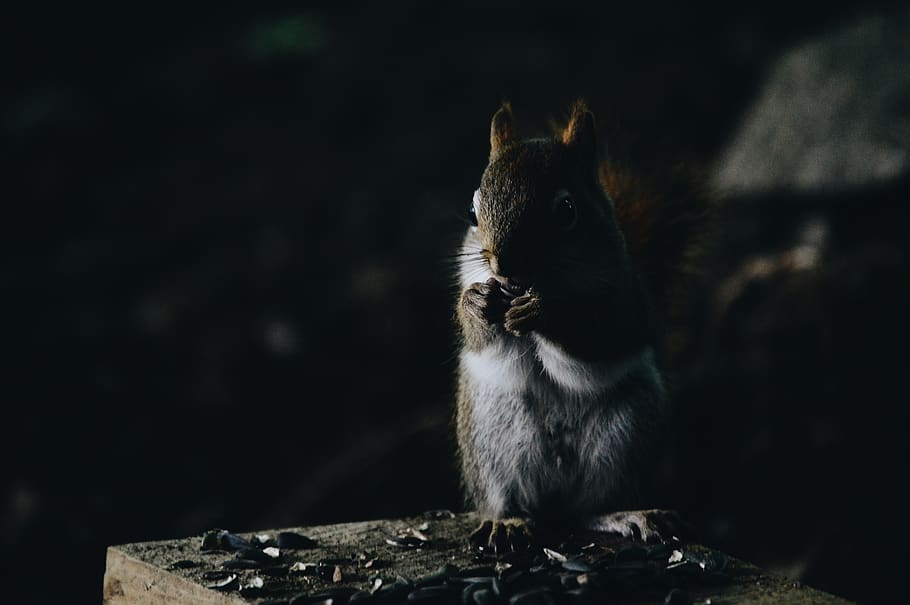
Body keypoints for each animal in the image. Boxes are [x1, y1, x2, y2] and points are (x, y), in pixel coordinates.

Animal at [454, 100, 700, 552]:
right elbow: (473, 331)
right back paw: (508, 521)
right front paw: (477, 303)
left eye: (566, 212)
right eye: (471, 212)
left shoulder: (626, 299)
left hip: (626, 430)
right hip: (492, 435)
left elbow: (598, 331)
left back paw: (628, 514)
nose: (503, 266)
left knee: (591, 508)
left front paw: (543, 312)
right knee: (509, 496)